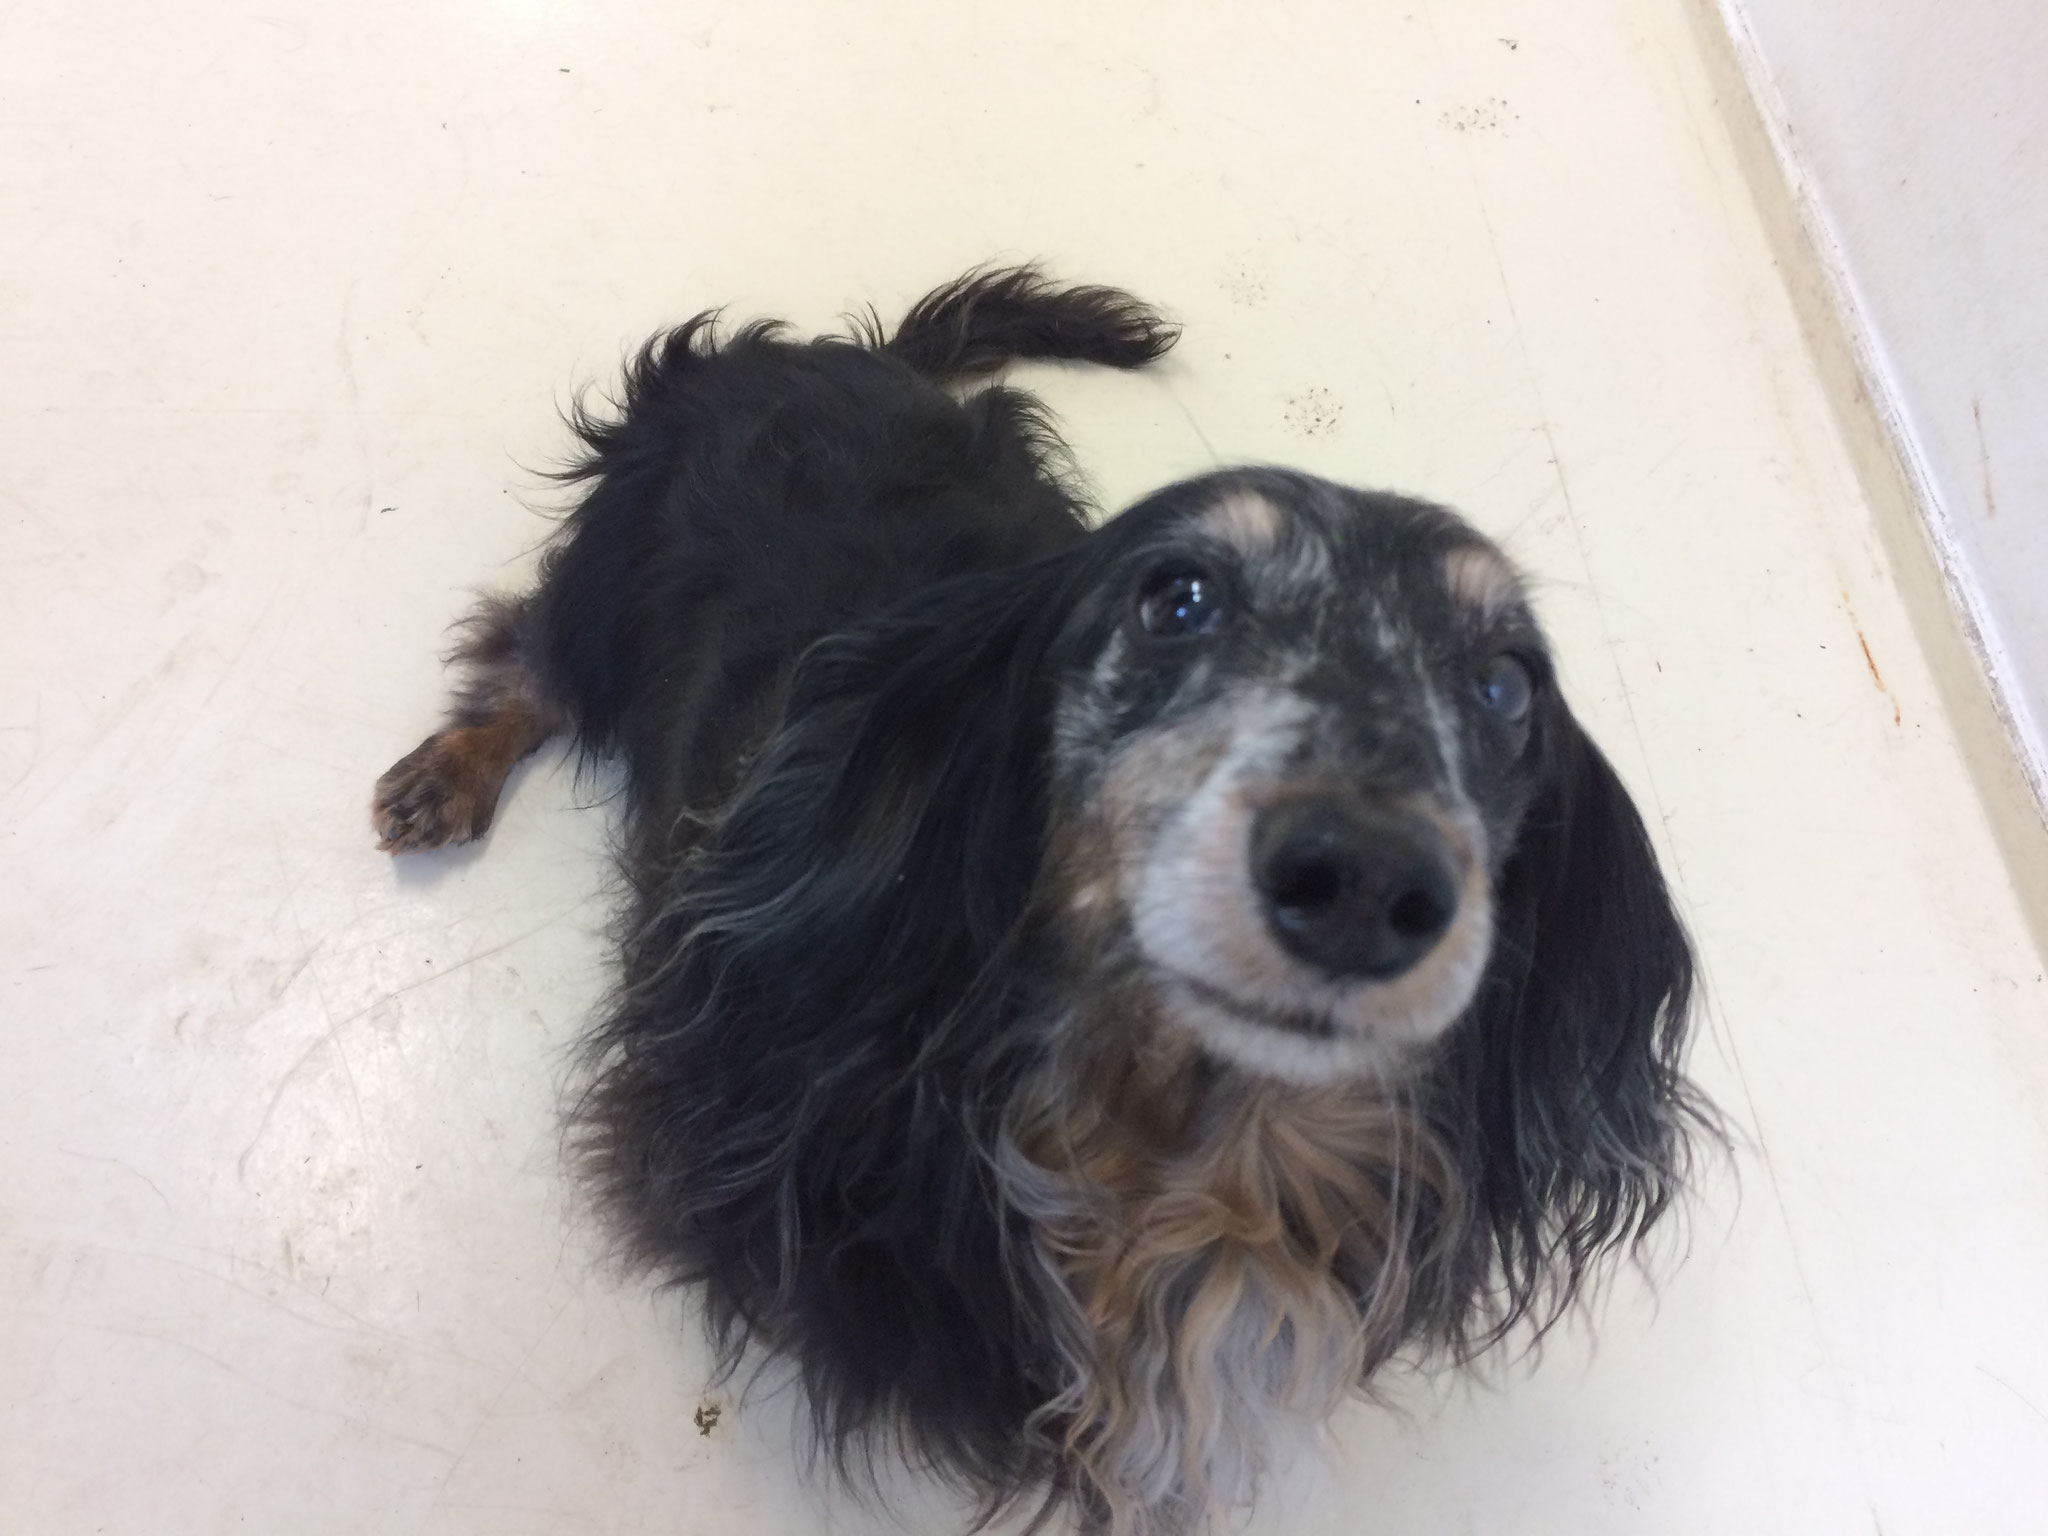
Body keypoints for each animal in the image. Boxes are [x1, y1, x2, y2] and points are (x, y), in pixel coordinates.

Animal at [373, 267, 1710, 1535]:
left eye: (1504, 684)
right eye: (1176, 598)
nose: (1368, 884)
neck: (1158, 1157)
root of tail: (828, 354)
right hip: (607, 583)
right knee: (528, 659)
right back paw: (444, 778)